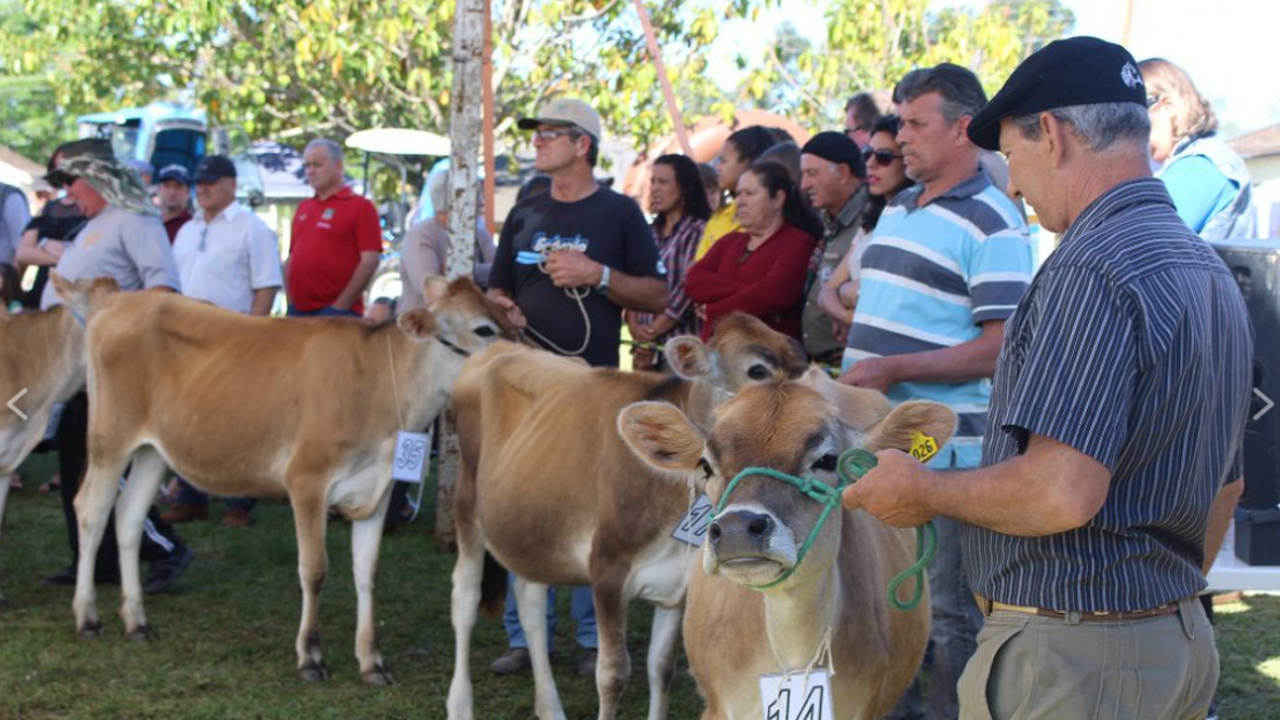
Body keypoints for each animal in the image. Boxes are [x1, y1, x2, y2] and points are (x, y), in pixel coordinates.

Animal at [60, 272, 509, 676]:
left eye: (506, 319)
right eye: (483, 329)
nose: (516, 357)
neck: (382, 388)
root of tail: (118, 300)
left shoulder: (377, 492)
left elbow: (368, 574)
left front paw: (371, 661)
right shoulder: (307, 481)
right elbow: (314, 570)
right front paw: (310, 656)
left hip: (153, 450)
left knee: (129, 518)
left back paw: (137, 623)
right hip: (110, 438)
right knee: (91, 511)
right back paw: (87, 618)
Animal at [450, 313, 803, 717]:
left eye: (802, 367)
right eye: (757, 370)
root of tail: (500, 346)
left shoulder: (678, 584)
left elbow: (662, 668)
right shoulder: (607, 571)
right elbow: (613, 674)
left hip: (531, 523)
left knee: (530, 601)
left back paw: (550, 706)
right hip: (467, 500)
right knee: (465, 596)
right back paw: (460, 704)